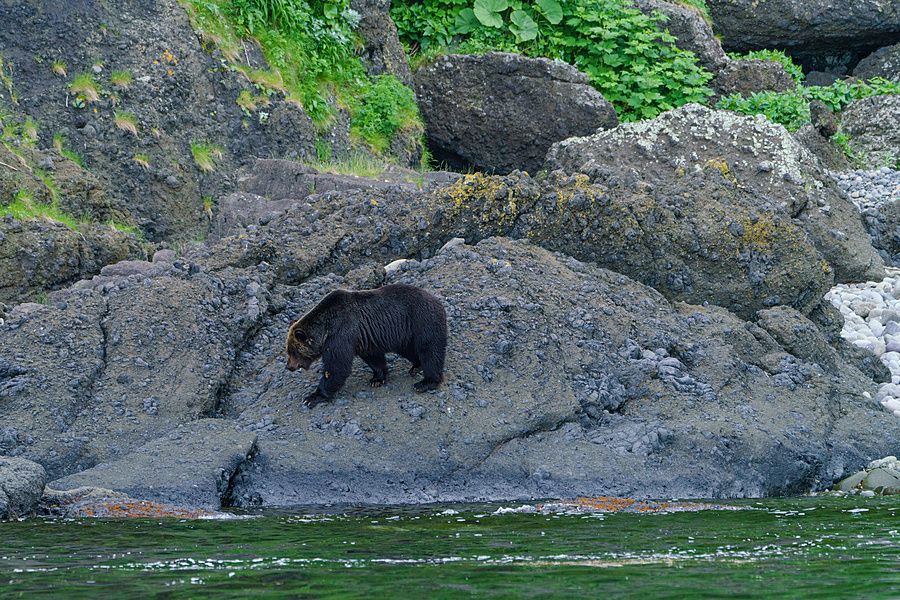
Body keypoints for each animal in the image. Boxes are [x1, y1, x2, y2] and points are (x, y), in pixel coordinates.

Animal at [285, 283, 447, 408]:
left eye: (292, 351)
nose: (289, 367)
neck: (325, 329)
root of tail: (437, 300)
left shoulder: (341, 334)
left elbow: (337, 367)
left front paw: (312, 397)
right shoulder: (365, 338)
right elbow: (373, 358)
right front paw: (377, 379)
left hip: (423, 321)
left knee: (429, 351)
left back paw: (425, 382)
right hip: (406, 336)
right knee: (411, 351)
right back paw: (416, 366)